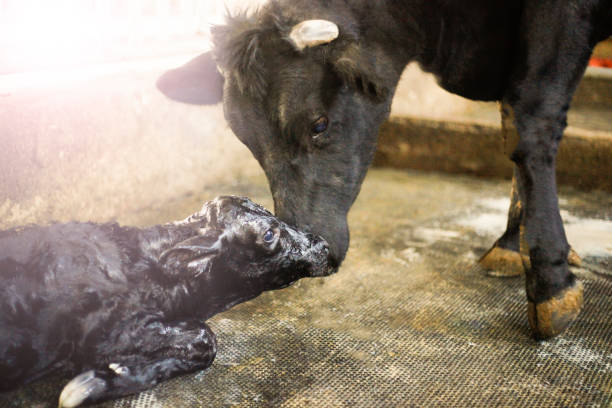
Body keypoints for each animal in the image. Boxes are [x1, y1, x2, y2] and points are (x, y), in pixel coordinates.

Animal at [158, 0, 612, 338]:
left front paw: (551, 283)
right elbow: (508, 121)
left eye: (318, 124)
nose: (313, 242)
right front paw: (510, 245)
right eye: (247, 141)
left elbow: (528, 119)